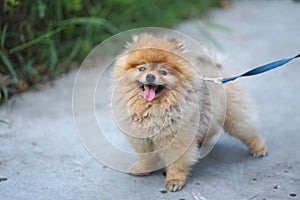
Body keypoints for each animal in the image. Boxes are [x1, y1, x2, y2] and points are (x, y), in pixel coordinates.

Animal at [112, 34, 268, 192]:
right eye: (142, 68)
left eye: (163, 72)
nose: (150, 76)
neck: (152, 107)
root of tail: (217, 69)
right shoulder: (141, 138)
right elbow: (146, 157)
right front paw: (142, 169)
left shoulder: (176, 139)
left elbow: (176, 163)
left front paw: (174, 180)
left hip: (234, 118)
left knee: (247, 131)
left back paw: (259, 148)